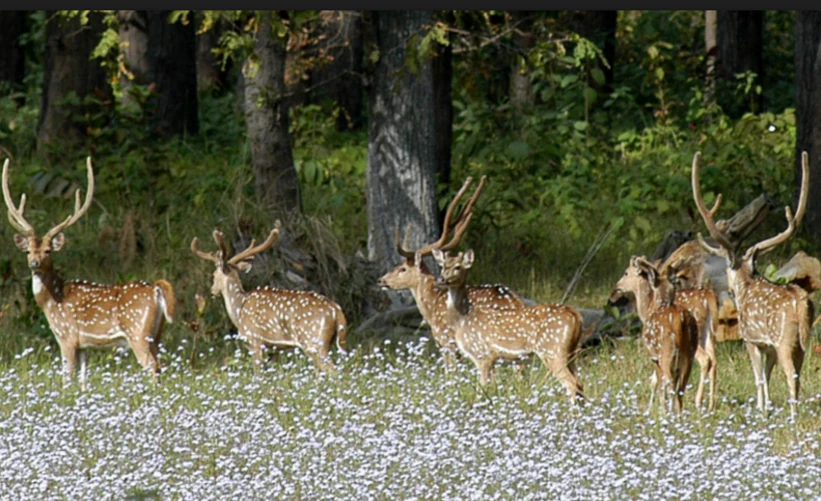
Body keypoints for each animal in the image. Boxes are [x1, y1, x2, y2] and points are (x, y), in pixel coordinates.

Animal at [2, 157, 176, 389]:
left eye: (48, 250)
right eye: (28, 251)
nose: (34, 263)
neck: (51, 300)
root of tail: (156, 288)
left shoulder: (66, 335)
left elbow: (67, 375)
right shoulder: (84, 345)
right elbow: (83, 378)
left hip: (138, 331)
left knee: (152, 365)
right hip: (157, 332)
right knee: (160, 364)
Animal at [191, 225, 348, 374]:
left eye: (213, 275)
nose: (212, 291)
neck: (238, 309)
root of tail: (336, 310)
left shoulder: (254, 339)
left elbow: (258, 375)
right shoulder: (274, 348)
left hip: (313, 341)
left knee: (334, 371)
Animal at [432, 248, 585, 404]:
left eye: (458, 267)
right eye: (442, 266)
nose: (441, 279)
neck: (461, 320)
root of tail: (575, 316)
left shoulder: (482, 353)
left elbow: (482, 387)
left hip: (552, 350)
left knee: (572, 384)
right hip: (571, 352)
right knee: (580, 382)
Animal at [610, 256, 703, 414]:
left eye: (626, 273)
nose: (616, 288)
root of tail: (679, 322)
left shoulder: (653, 355)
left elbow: (656, 383)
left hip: (665, 352)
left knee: (669, 383)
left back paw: (670, 413)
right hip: (689, 353)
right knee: (680, 388)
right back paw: (680, 413)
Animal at [691, 150, 814, 419]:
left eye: (726, 268)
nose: (727, 288)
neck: (745, 287)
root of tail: (801, 303)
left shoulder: (750, 338)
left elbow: (758, 377)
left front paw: (760, 409)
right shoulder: (767, 346)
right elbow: (766, 377)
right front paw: (766, 407)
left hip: (784, 338)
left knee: (792, 377)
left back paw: (793, 418)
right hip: (803, 341)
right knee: (799, 376)